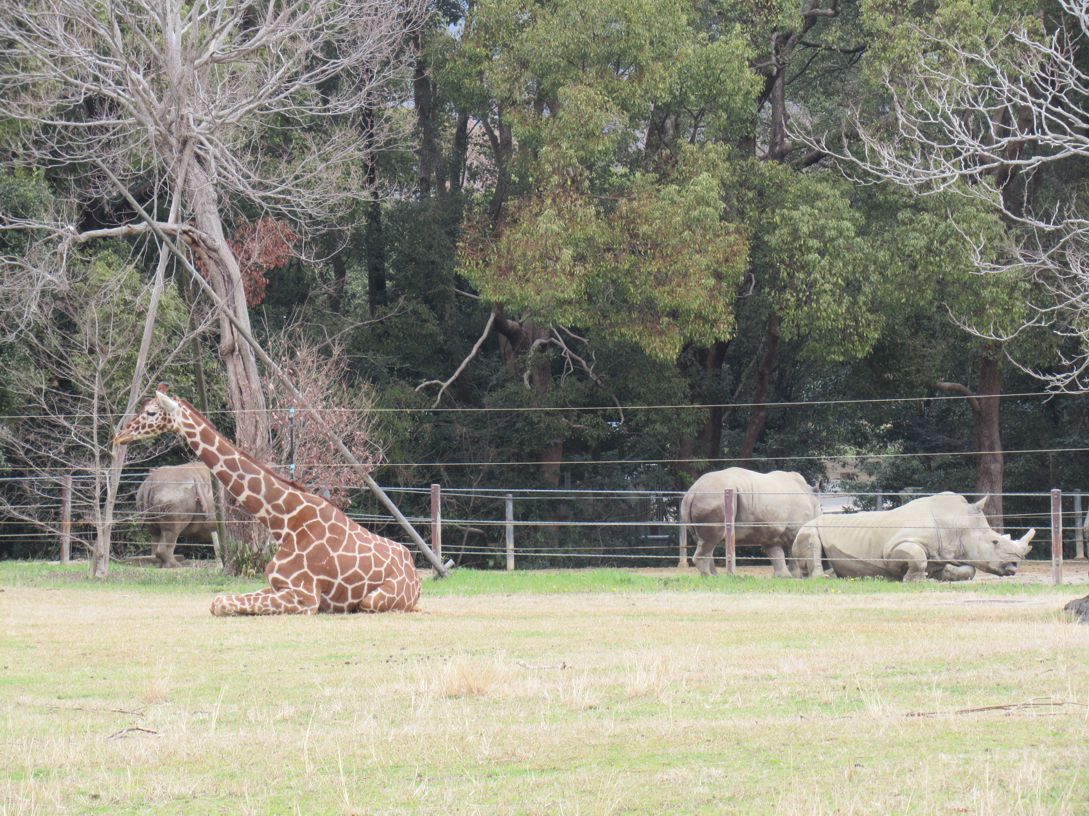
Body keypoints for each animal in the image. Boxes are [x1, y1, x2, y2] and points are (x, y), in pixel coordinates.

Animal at [113, 385, 420, 614]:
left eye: (151, 411)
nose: (120, 435)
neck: (284, 523)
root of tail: (415, 574)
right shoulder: (275, 586)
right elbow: (218, 600)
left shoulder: (304, 596)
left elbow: (220, 602)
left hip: (374, 599)